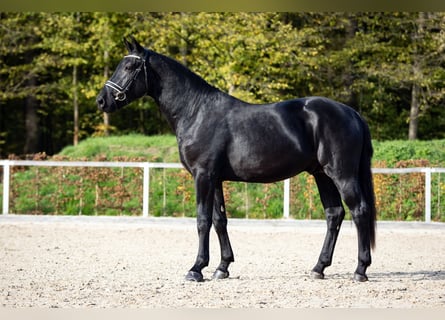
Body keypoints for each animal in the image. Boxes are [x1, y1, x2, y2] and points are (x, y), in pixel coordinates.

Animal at [96, 37, 374, 282]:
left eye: (129, 67)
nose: (102, 100)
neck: (196, 112)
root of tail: (351, 113)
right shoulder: (215, 178)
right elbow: (220, 221)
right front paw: (222, 267)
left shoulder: (203, 176)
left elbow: (203, 220)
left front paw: (196, 269)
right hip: (321, 175)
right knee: (334, 214)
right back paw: (319, 268)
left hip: (341, 174)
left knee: (359, 211)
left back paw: (360, 270)